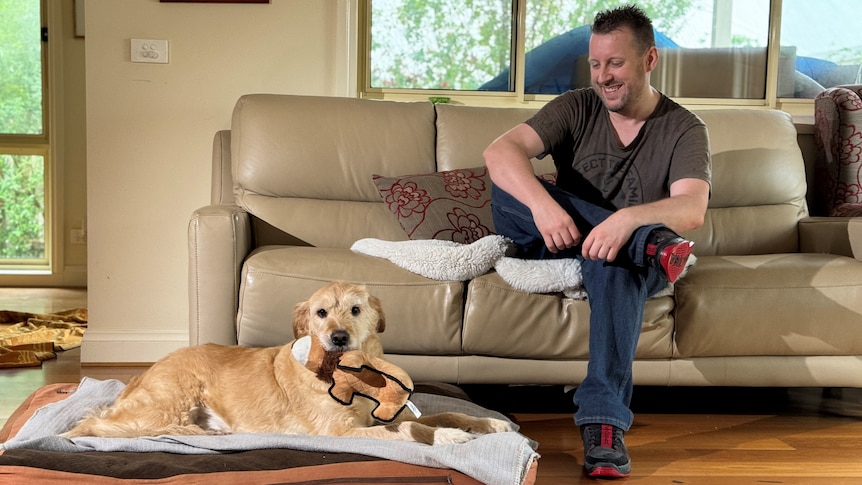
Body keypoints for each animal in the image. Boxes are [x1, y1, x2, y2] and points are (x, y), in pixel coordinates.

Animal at [67, 280, 516, 442]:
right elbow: (408, 432)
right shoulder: (341, 431)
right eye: (321, 313)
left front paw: (489, 424)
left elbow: (449, 414)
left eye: (355, 310)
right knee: (90, 428)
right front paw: (448, 439)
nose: (338, 337)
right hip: (168, 402)